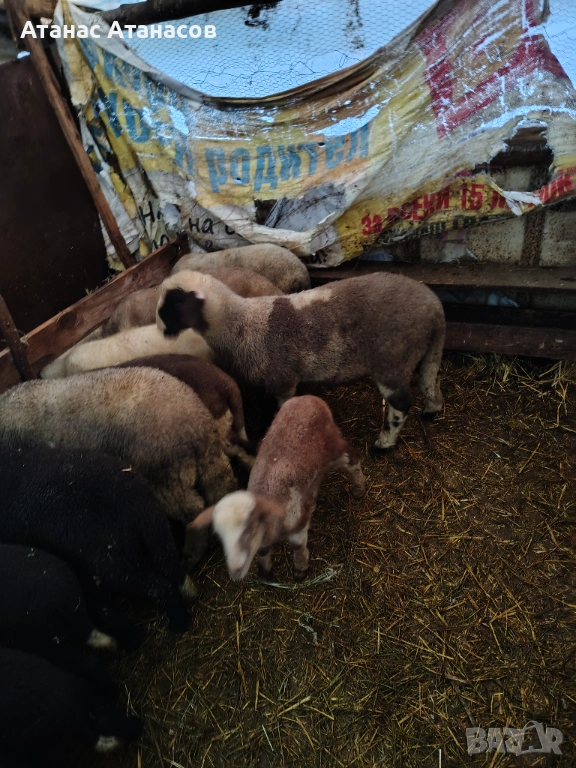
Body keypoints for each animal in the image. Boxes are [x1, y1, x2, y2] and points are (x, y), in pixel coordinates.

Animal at [157, 270, 445, 450]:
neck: (242, 326)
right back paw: (432, 410)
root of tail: (434, 307)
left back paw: (384, 444)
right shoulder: (267, 383)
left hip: (393, 360)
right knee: (429, 380)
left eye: (171, 305)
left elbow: (282, 406)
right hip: (425, 352)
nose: (160, 330)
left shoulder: (283, 380)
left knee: (401, 405)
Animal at [187, 395, 366, 581]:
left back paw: (359, 487)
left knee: (352, 459)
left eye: (248, 531)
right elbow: (263, 550)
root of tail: (309, 398)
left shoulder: (296, 524)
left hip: (333, 448)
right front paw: (265, 571)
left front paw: (300, 568)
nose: (235, 574)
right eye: (221, 538)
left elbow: (297, 546)